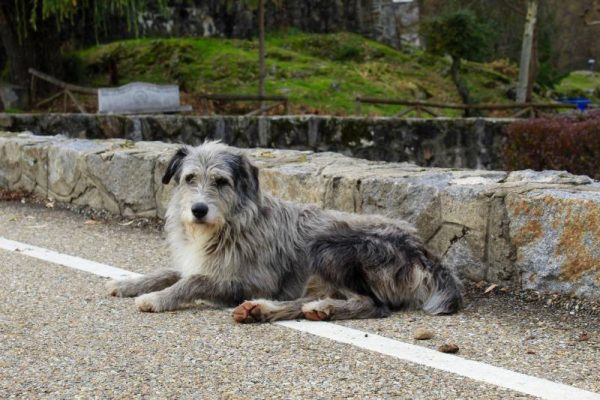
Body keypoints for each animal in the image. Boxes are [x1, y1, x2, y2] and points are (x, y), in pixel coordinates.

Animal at [106, 141, 464, 322]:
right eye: (190, 178)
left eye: (221, 181)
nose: (198, 210)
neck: (230, 226)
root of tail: (422, 250)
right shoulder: (199, 262)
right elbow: (170, 271)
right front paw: (128, 283)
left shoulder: (253, 280)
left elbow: (194, 281)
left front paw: (156, 298)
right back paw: (261, 310)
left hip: (329, 248)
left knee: (373, 305)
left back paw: (316, 309)